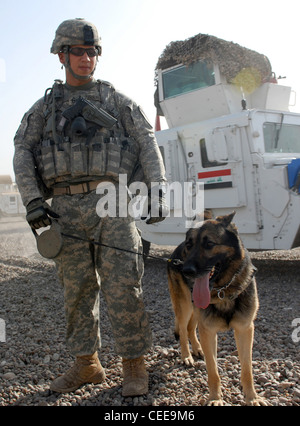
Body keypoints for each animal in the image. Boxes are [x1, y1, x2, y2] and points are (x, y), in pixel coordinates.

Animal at [168, 213, 266, 406]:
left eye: (209, 244)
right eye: (190, 245)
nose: (186, 270)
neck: (223, 289)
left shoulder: (244, 330)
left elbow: (247, 369)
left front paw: (252, 397)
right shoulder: (209, 331)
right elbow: (213, 370)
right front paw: (215, 398)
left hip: (196, 310)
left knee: (191, 328)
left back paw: (197, 349)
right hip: (184, 306)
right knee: (182, 329)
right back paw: (186, 356)